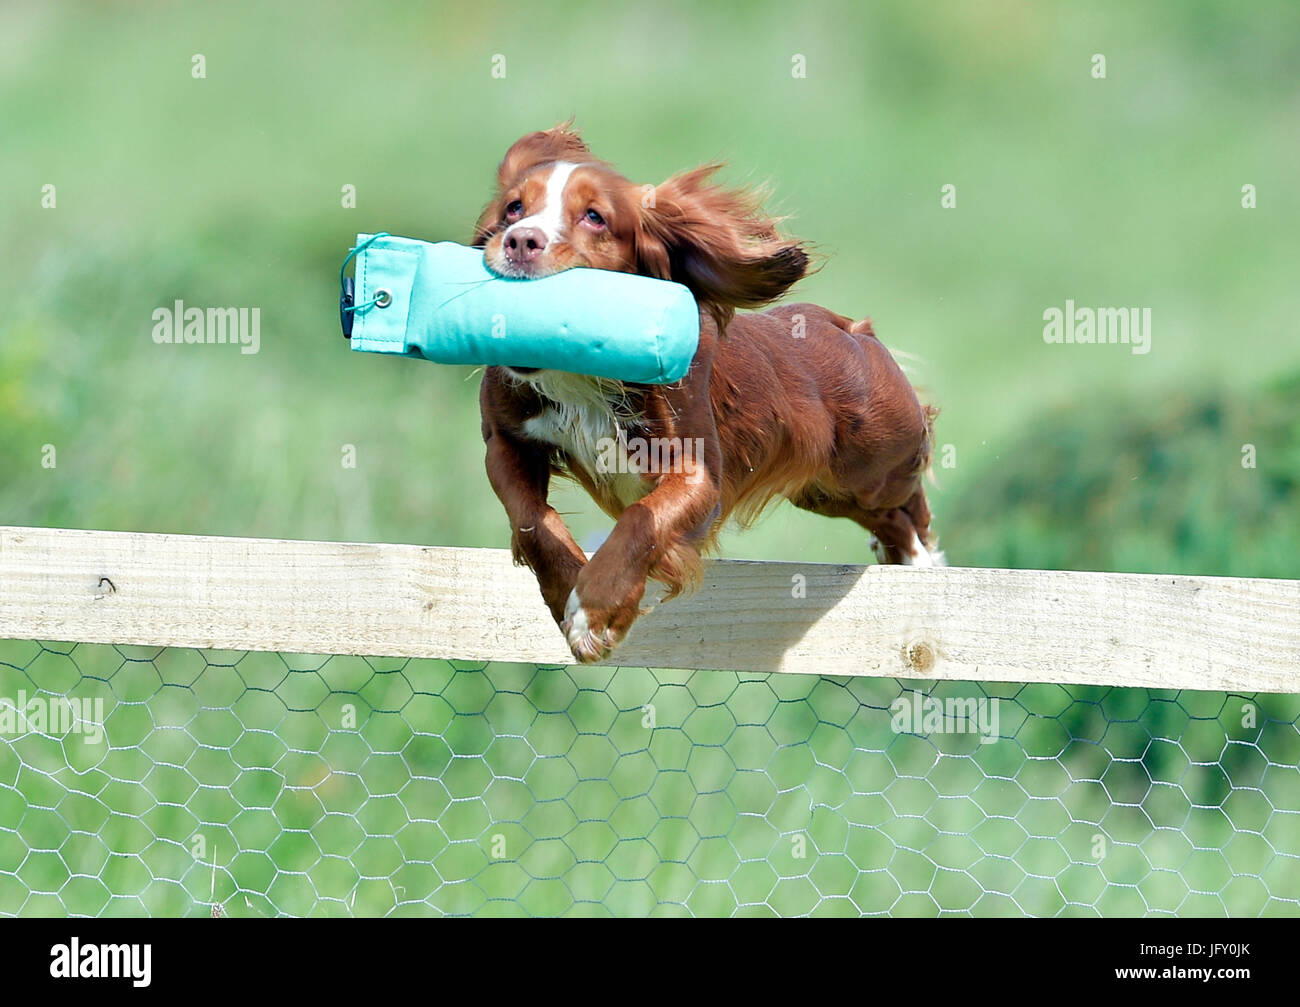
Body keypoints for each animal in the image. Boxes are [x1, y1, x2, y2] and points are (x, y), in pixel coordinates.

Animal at [473, 122, 941, 665]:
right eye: (514, 207)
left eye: (594, 216)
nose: (520, 241)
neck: (582, 380)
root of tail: (850, 329)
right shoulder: (505, 442)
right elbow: (532, 518)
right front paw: (568, 587)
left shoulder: (698, 472)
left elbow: (642, 519)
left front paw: (596, 614)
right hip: (823, 490)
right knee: (886, 515)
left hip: (872, 460)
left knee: (910, 494)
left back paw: (923, 558)